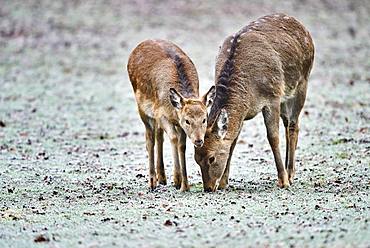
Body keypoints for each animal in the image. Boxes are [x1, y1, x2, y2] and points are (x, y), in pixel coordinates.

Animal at [127, 39, 215, 192]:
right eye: (187, 121)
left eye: (204, 119)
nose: (199, 140)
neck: (172, 109)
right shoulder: (161, 114)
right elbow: (173, 138)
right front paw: (179, 182)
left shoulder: (177, 124)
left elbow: (182, 145)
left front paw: (184, 185)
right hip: (142, 109)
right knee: (149, 138)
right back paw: (152, 182)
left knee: (159, 135)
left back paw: (162, 177)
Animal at [195, 13, 314, 192]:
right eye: (196, 159)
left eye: (211, 158)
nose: (208, 188)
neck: (249, 93)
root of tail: (302, 26)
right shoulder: (243, 112)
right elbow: (233, 141)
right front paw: (224, 182)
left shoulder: (272, 97)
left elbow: (273, 137)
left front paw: (283, 181)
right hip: (286, 96)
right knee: (288, 123)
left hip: (302, 82)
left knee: (294, 124)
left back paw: (290, 174)